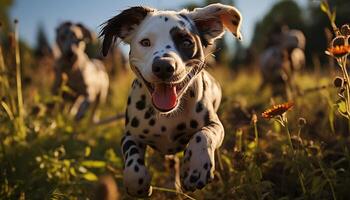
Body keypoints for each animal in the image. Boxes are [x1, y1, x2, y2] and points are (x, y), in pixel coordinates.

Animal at [100, 3, 242, 197]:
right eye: (145, 42)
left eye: (187, 42)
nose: (163, 66)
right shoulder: (130, 135)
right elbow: (132, 161)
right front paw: (137, 181)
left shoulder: (215, 125)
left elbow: (203, 135)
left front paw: (197, 167)